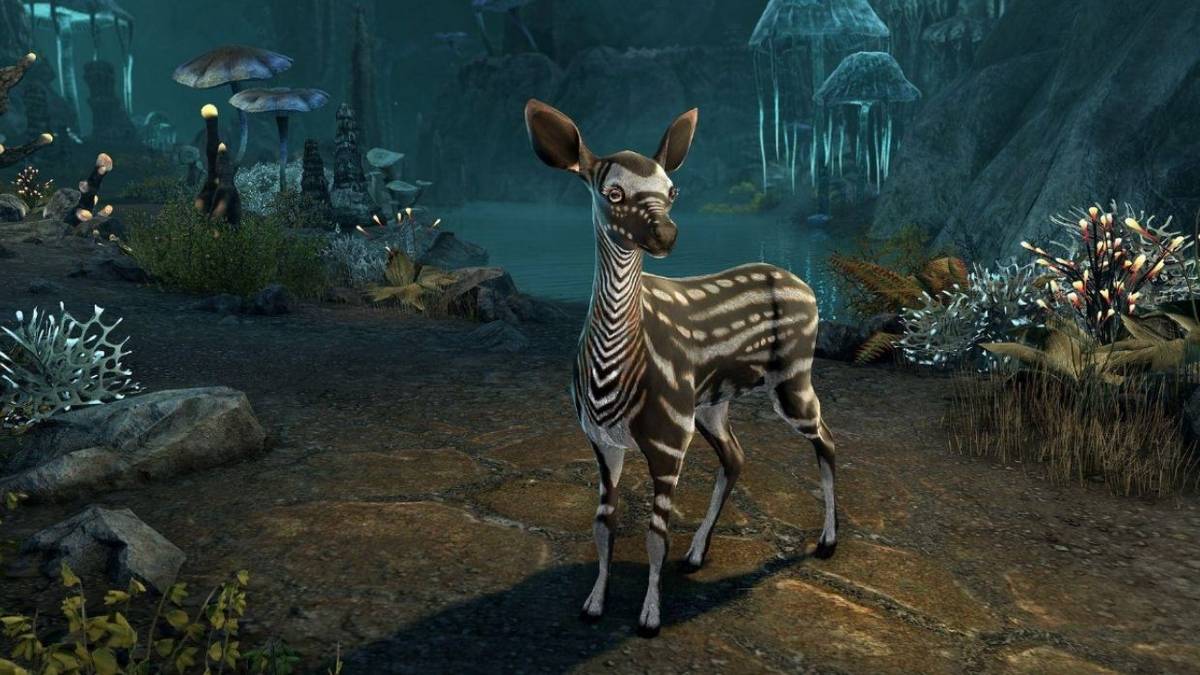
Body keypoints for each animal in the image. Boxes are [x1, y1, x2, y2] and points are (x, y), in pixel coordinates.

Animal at [524, 99, 838, 638]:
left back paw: (826, 543)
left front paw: (649, 617)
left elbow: (655, 534)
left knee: (827, 439)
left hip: (793, 376)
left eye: (672, 191)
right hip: (711, 403)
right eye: (612, 190)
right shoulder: (601, 440)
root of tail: (805, 286)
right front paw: (593, 605)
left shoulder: (670, 438)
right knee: (736, 455)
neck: (611, 379)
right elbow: (603, 525)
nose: (666, 233)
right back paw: (696, 556)